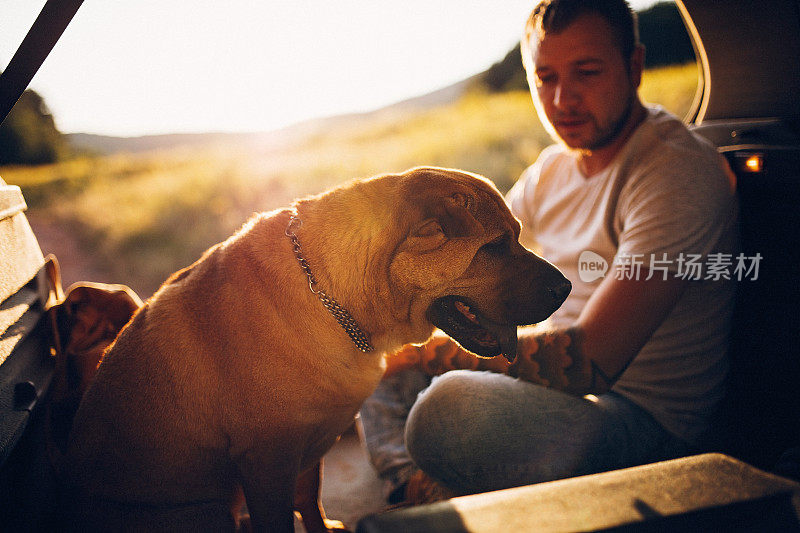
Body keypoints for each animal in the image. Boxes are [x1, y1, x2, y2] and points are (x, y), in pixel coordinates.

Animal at [61, 167, 568, 532]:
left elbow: (309, 501)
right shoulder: (267, 463)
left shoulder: (304, 454)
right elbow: (279, 517)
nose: (565, 288)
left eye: (517, 234)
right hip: (204, 510)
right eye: (495, 247)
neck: (331, 297)